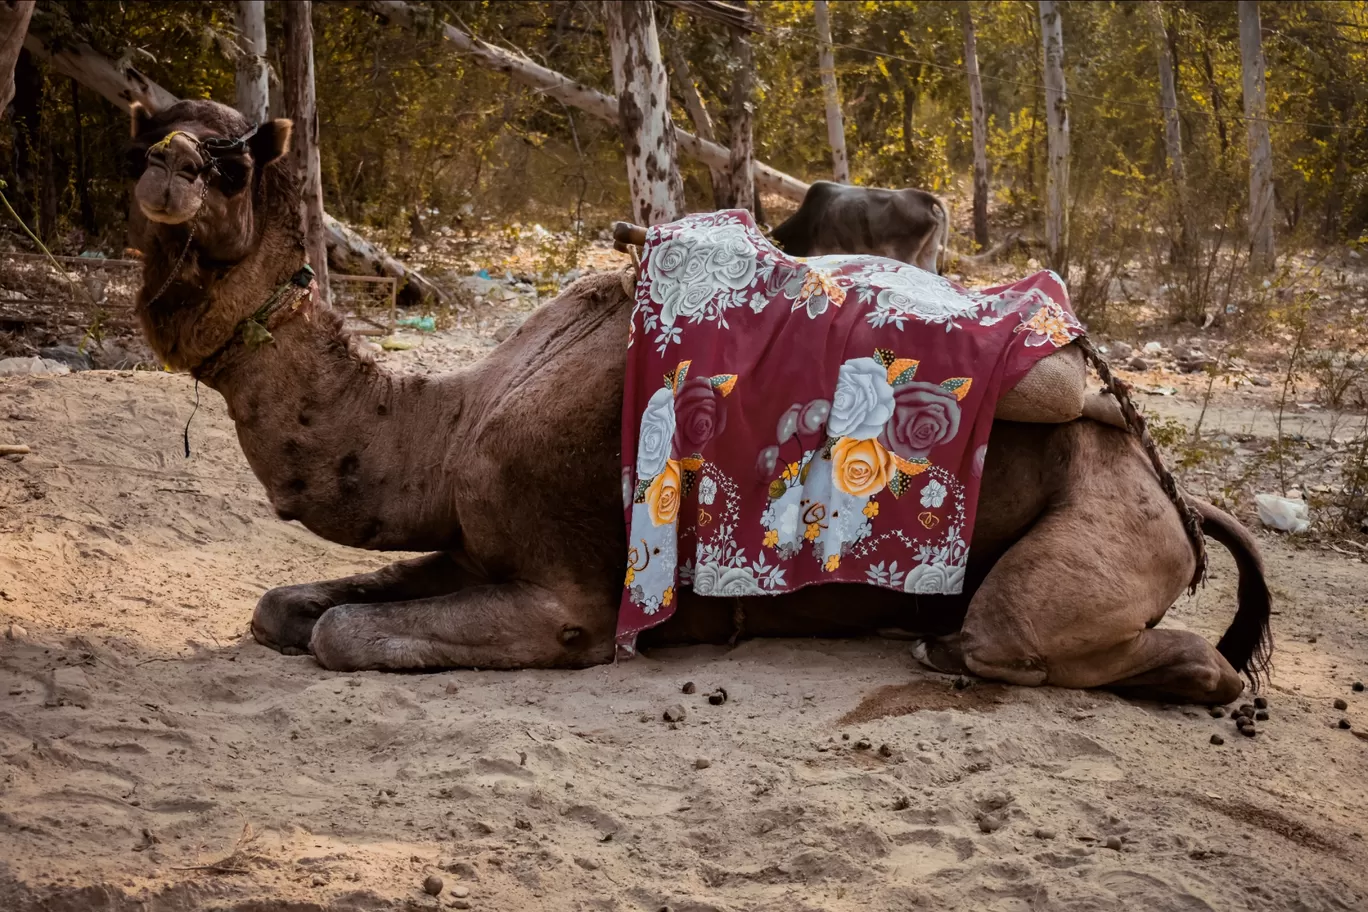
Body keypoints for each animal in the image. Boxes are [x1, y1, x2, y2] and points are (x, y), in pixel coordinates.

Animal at [125, 103, 1269, 711]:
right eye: (150, 134)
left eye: (233, 160)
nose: (164, 176)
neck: (449, 425)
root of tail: (1177, 498)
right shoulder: (463, 544)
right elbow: (289, 608)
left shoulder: (568, 599)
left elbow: (341, 634)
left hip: (1095, 541)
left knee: (1020, 637)